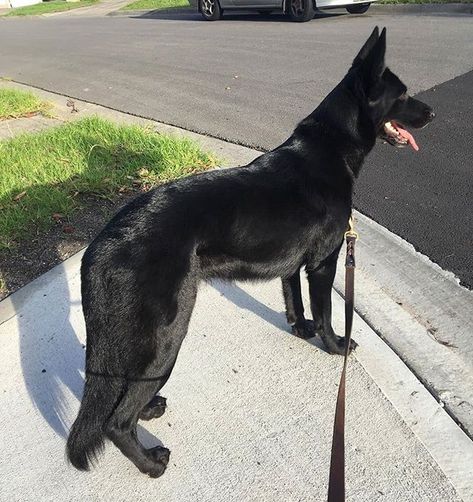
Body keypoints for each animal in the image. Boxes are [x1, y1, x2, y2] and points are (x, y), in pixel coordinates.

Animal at [67, 28, 436, 478]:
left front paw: (301, 330)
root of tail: (100, 246)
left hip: (135, 341)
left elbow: (295, 303)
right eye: (403, 95)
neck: (331, 146)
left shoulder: (293, 266)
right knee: (115, 421)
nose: (433, 113)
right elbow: (327, 312)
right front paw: (334, 346)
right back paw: (151, 462)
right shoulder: (323, 264)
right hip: (166, 337)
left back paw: (149, 411)